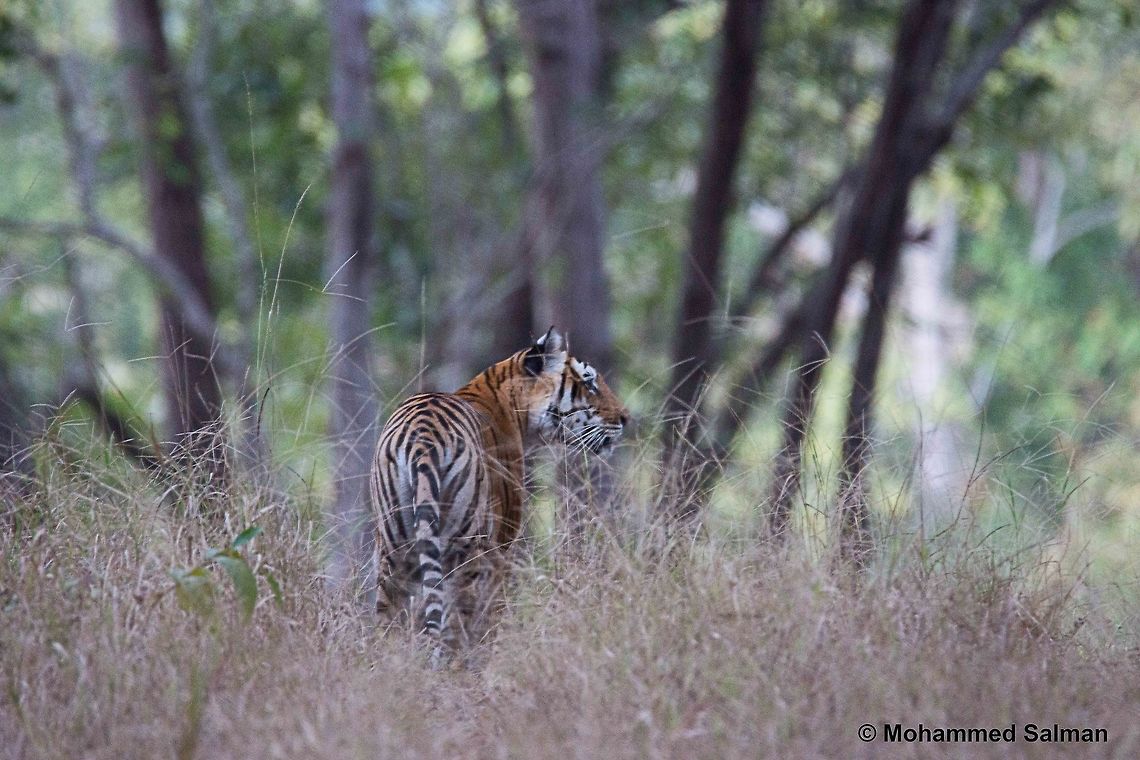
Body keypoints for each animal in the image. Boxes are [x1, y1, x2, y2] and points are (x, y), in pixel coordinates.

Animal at [369, 327, 629, 665]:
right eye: (589, 382)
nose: (625, 417)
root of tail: (423, 436)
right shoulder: (503, 545)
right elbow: (495, 612)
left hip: (393, 547)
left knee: (388, 622)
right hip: (464, 546)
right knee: (456, 621)